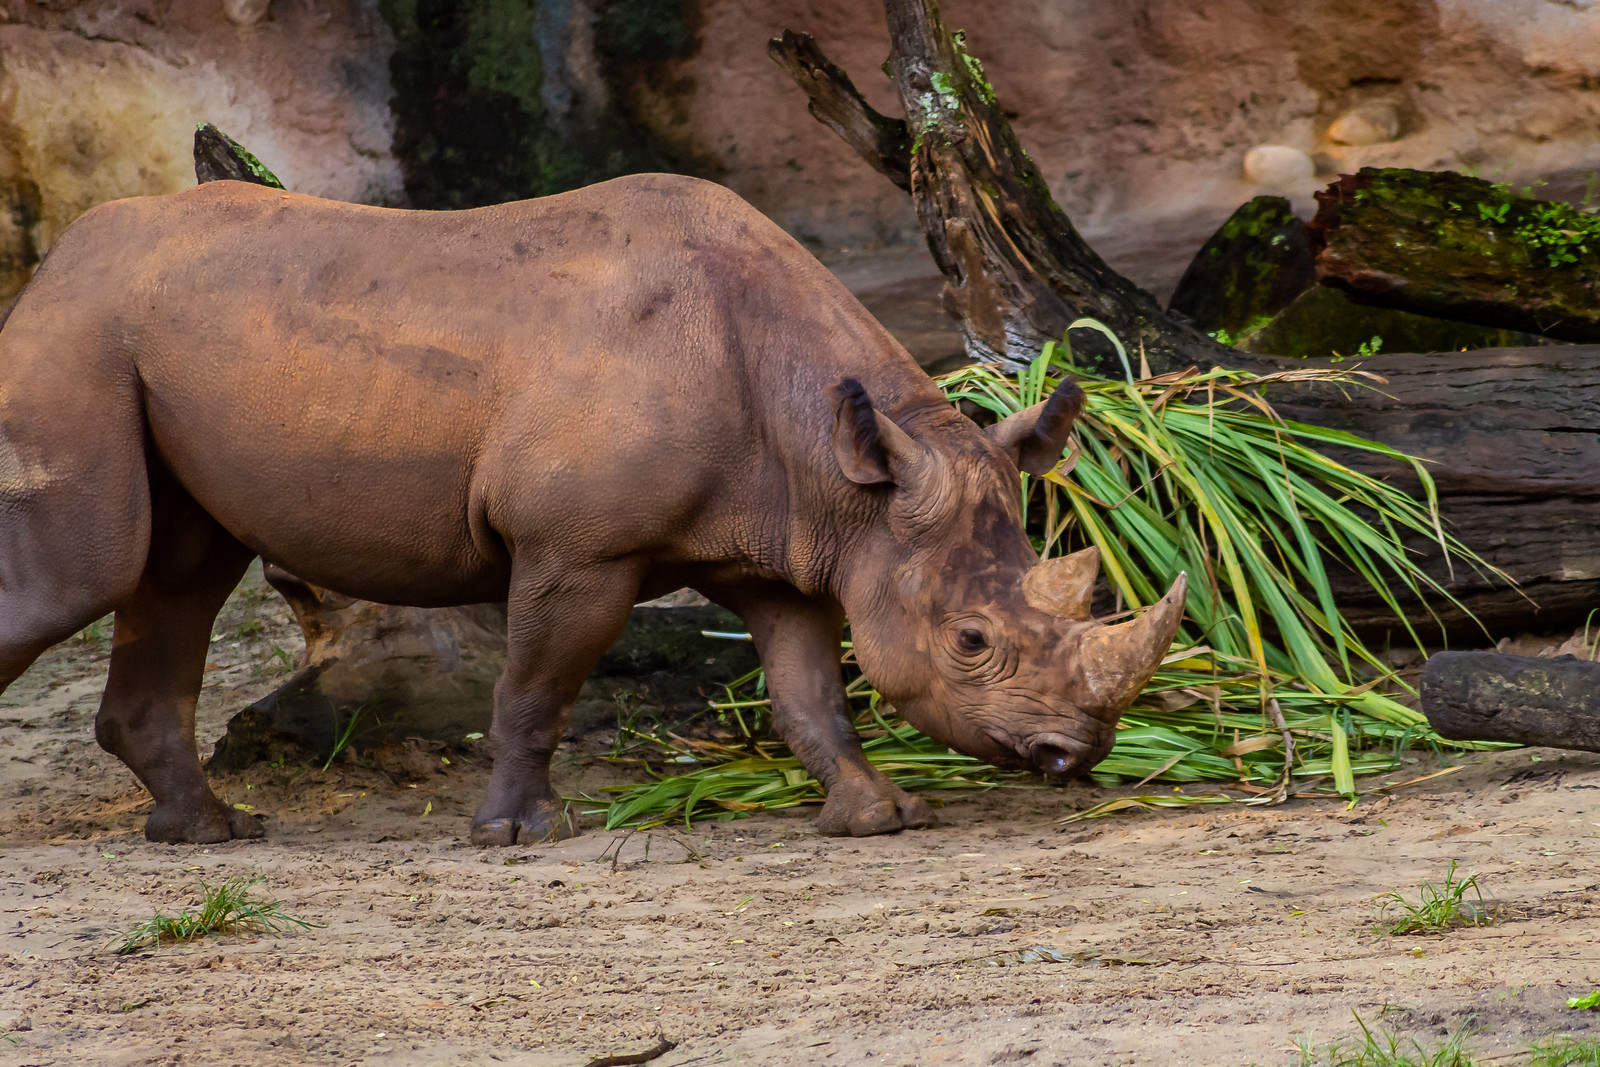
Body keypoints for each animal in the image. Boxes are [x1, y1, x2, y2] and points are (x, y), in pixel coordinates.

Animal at [0, 173, 1185, 845]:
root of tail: (61, 256)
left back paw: (212, 833)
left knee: (177, 573)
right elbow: (536, 684)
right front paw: (519, 833)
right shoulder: (577, 546)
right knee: (88, 576)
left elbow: (811, 692)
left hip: (146, 337)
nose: (1075, 755)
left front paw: (877, 816)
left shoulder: (792, 544)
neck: (844, 468)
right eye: (972, 640)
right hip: (80, 333)